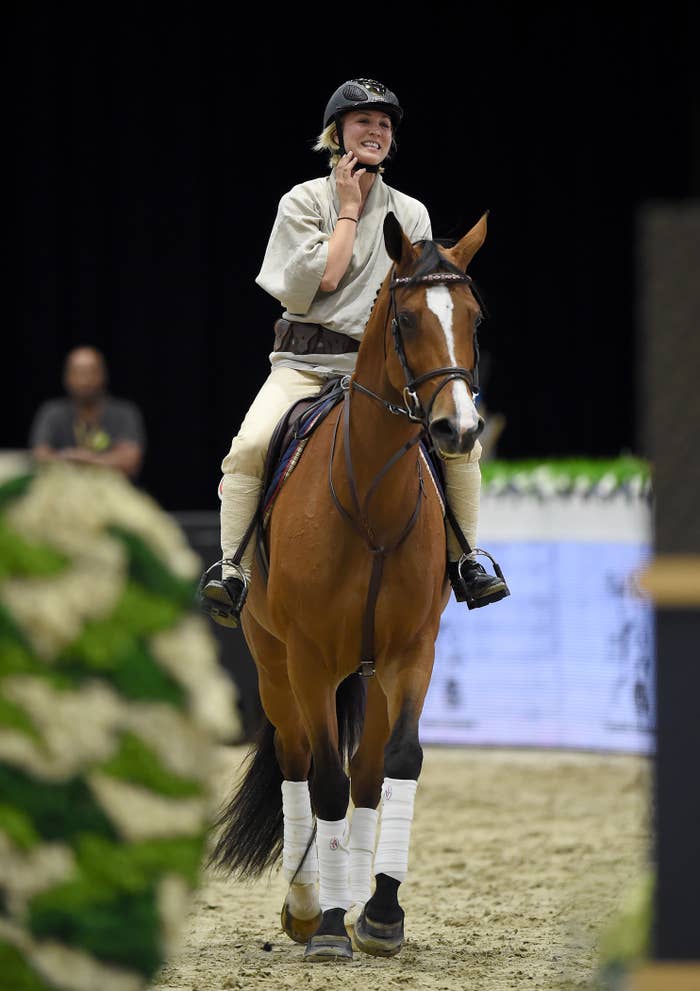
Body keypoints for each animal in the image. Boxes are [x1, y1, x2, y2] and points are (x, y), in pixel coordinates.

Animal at [211, 209, 490, 960]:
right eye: (406, 319)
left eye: (474, 318)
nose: (459, 429)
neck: (371, 503)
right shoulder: (309, 660)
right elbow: (325, 781)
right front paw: (332, 924)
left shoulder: (411, 653)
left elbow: (397, 762)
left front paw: (381, 912)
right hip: (276, 664)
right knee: (297, 760)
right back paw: (310, 905)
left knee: (365, 773)